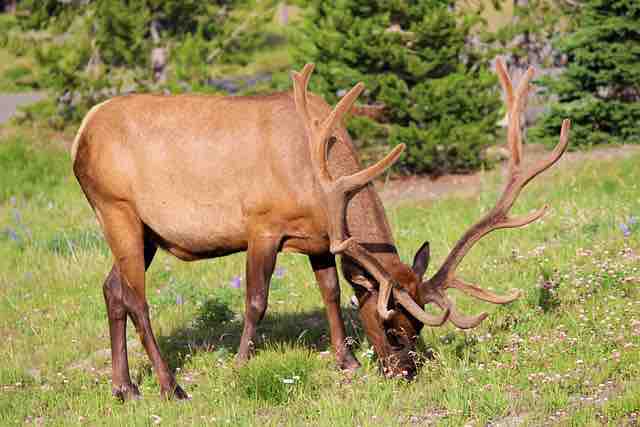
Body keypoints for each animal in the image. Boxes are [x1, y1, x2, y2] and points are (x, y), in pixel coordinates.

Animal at [71, 57, 568, 402]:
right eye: (390, 326)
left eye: (417, 327)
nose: (405, 372)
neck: (317, 180)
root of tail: (81, 135)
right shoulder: (262, 227)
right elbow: (256, 302)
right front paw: (240, 364)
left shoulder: (320, 239)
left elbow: (330, 291)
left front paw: (346, 362)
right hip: (117, 208)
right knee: (136, 298)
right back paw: (170, 386)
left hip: (145, 232)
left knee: (111, 288)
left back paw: (124, 388)